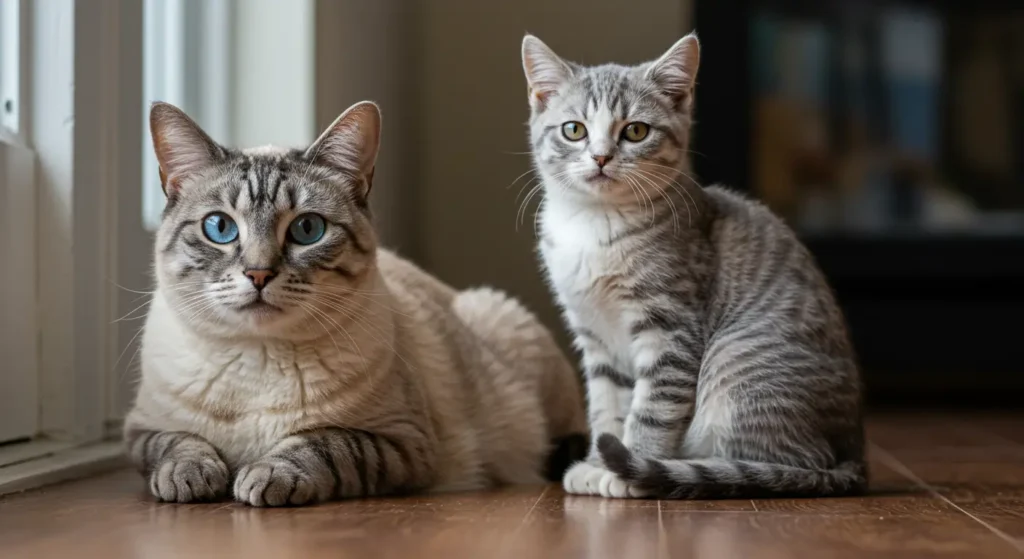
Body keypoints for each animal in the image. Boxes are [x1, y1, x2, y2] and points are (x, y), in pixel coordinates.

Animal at [121, 100, 585, 503]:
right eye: (219, 228)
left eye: (307, 229)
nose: (258, 274)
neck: (258, 358)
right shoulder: (140, 430)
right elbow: (177, 444)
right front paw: (191, 478)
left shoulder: (401, 442)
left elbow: (321, 445)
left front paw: (266, 475)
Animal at [524, 32, 868, 497]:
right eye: (573, 130)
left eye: (635, 131)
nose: (600, 157)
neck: (595, 226)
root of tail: (856, 451)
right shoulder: (595, 336)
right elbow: (607, 406)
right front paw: (597, 461)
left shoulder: (671, 325)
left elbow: (652, 407)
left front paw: (631, 465)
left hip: (737, 362)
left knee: (792, 463)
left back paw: (687, 468)